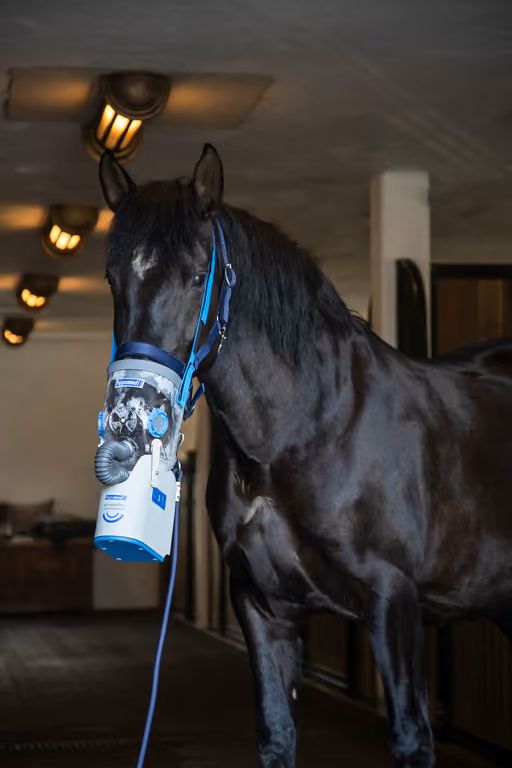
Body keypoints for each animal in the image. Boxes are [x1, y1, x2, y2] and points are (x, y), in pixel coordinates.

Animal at [98, 144, 512, 768]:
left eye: (197, 275)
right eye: (113, 277)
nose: (128, 415)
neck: (307, 431)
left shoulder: (394, 603)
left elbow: (412, 736)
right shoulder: (263, 607)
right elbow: (276, 732)